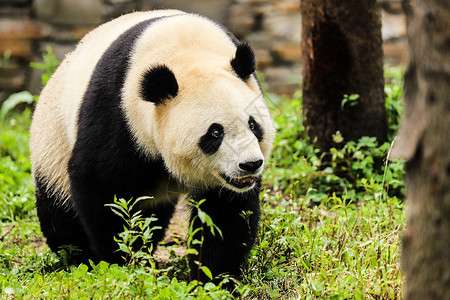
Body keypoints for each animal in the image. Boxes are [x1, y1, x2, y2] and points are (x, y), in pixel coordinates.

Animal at [29, 8, 274, 282]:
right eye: (215, 132)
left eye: (253, 124)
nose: (250, 165)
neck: (187, 52)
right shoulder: (117, 113)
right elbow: (103, 189)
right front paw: (117, 260)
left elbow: (226, 213)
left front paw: (214, 277)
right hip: (53, 142)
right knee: (59, 211)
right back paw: (78, 257)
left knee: (152, 214)